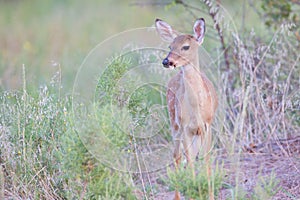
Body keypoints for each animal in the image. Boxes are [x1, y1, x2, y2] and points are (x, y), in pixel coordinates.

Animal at [155, 18, 218, 199]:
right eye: (170, 46)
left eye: (186, 47)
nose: (166, 61)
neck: (196, 109)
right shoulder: (184, 127)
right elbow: (189, 161)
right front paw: (194, 189)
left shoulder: (207, 125)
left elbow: (205, 159)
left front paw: (209, 193)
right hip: (174, 124)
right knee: (177, 156)